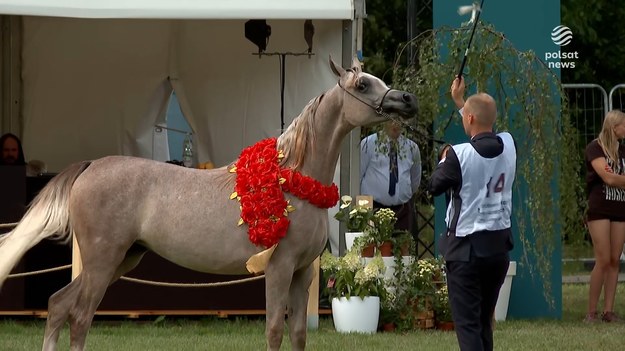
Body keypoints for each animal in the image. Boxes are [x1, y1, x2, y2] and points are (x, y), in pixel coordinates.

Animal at [0, 58, 416, 351]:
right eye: (362, 84)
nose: (407, 100)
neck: (294, 178)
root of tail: (90, 165)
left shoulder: (302, 274)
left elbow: (298, 333)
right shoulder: (279, 269)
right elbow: (274, 330)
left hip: (120, 260)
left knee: (57, 306)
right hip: (103, 263)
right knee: (80, 318)